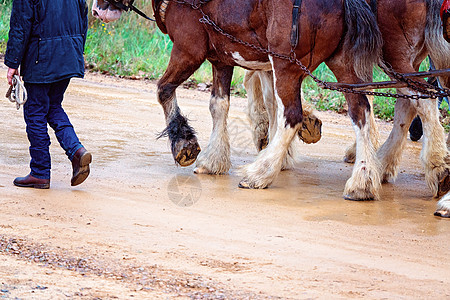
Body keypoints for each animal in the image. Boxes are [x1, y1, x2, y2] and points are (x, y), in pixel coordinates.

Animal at [91, 1, 384, 199]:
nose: (96, 11)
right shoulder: (221, 59)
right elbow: (218, 105)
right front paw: (213, 160)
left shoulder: (188, 50)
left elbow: (164, 90)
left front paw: (184, 144)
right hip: (342, 64)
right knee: (361, 111)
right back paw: (362, 182)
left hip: (286, 65)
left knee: (291, 115)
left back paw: (260, 173)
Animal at [246, 0, 450, 216]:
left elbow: (262, 85)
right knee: (407, 102)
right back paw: (385, 164)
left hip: (393, 53)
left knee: (419, 98)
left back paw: (434, 167)